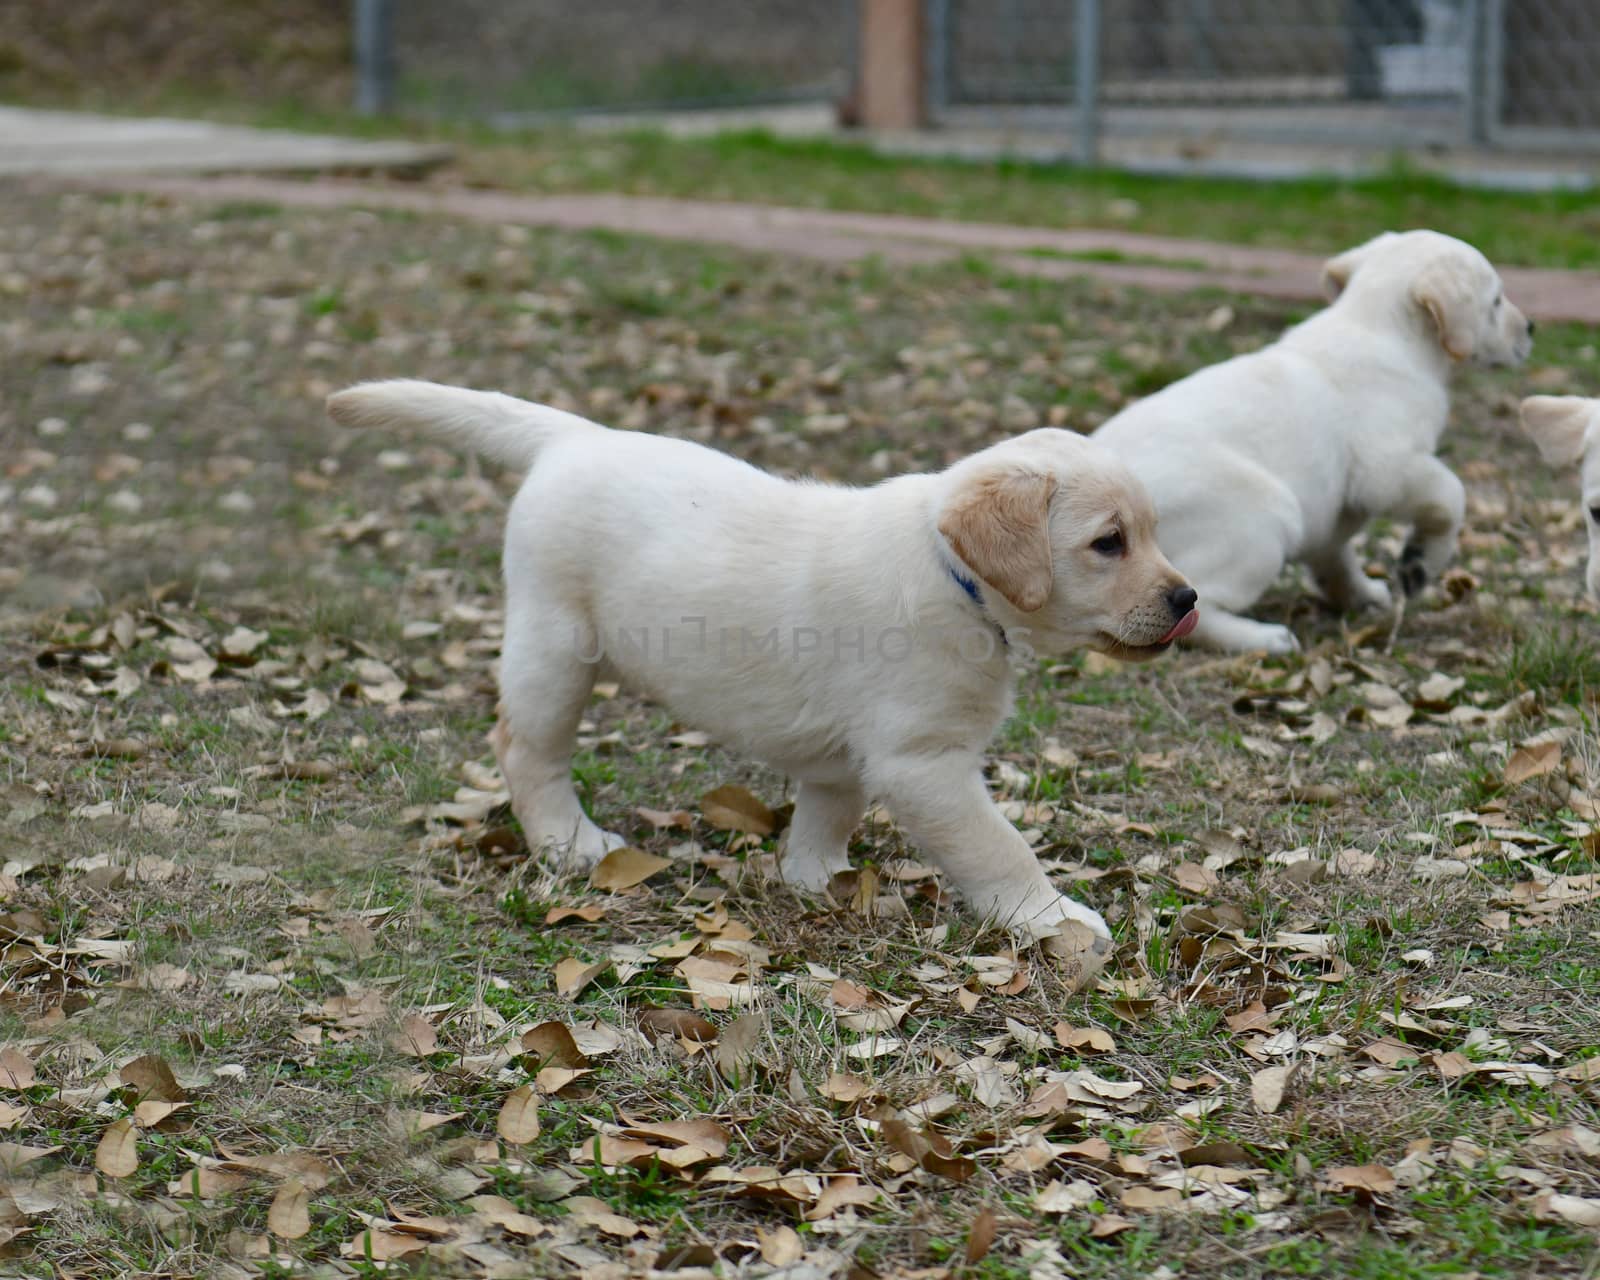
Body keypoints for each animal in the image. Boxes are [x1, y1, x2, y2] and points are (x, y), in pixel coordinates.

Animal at [328, 374, 1203, 947]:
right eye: (1108, 543)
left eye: (1152, 533)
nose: (1187, 599)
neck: (952, 575)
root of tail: (578, 436)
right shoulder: (925, 762)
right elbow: (1000, 846)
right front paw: (1051, 918)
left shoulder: (854, 755)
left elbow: (830, 809)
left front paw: (815, 875)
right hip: (555, 648)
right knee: (526, 750)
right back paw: (568, 842)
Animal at [1094, 230, 1529, 656]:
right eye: (1496, 301)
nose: (1531, 329)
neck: (1380, 329)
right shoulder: (1386, 469)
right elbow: (1450, 494)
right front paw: (1421, 562)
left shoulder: (1331, 519)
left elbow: (1337, 560)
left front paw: (1362, 595)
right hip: (1266, 517)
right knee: (1195, 611)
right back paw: (1264, 639)